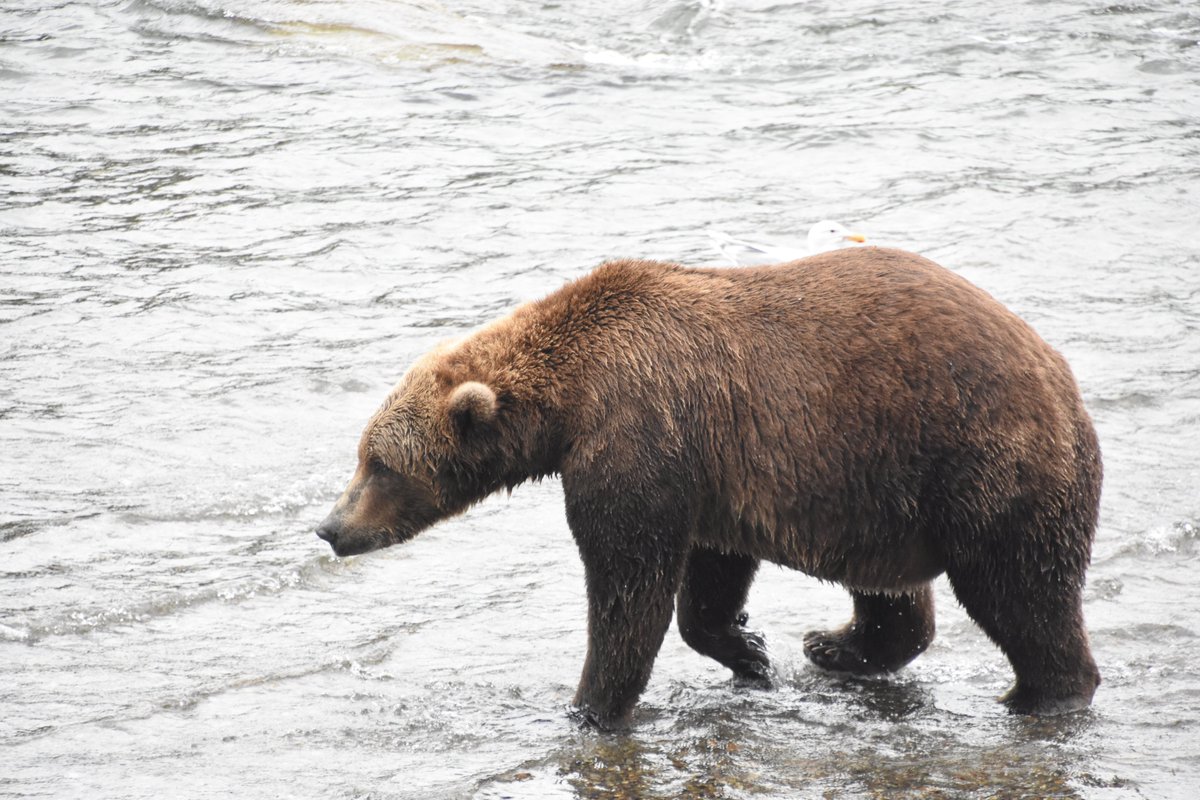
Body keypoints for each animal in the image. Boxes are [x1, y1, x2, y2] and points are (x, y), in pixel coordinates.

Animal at [316, 247, 1102, 729]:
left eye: (379, 465)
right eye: (361, 455)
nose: (329, 527)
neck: (566, 405)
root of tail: (1062, 376)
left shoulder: (635, 436)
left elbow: (628, 585)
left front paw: (589, 705)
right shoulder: (708, 466)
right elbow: (710, 573)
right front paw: (749, 648)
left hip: (979, 462)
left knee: (1021, 590)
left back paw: (1040, 694)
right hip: (884, 494)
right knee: (896, 594)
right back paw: (834, 645)